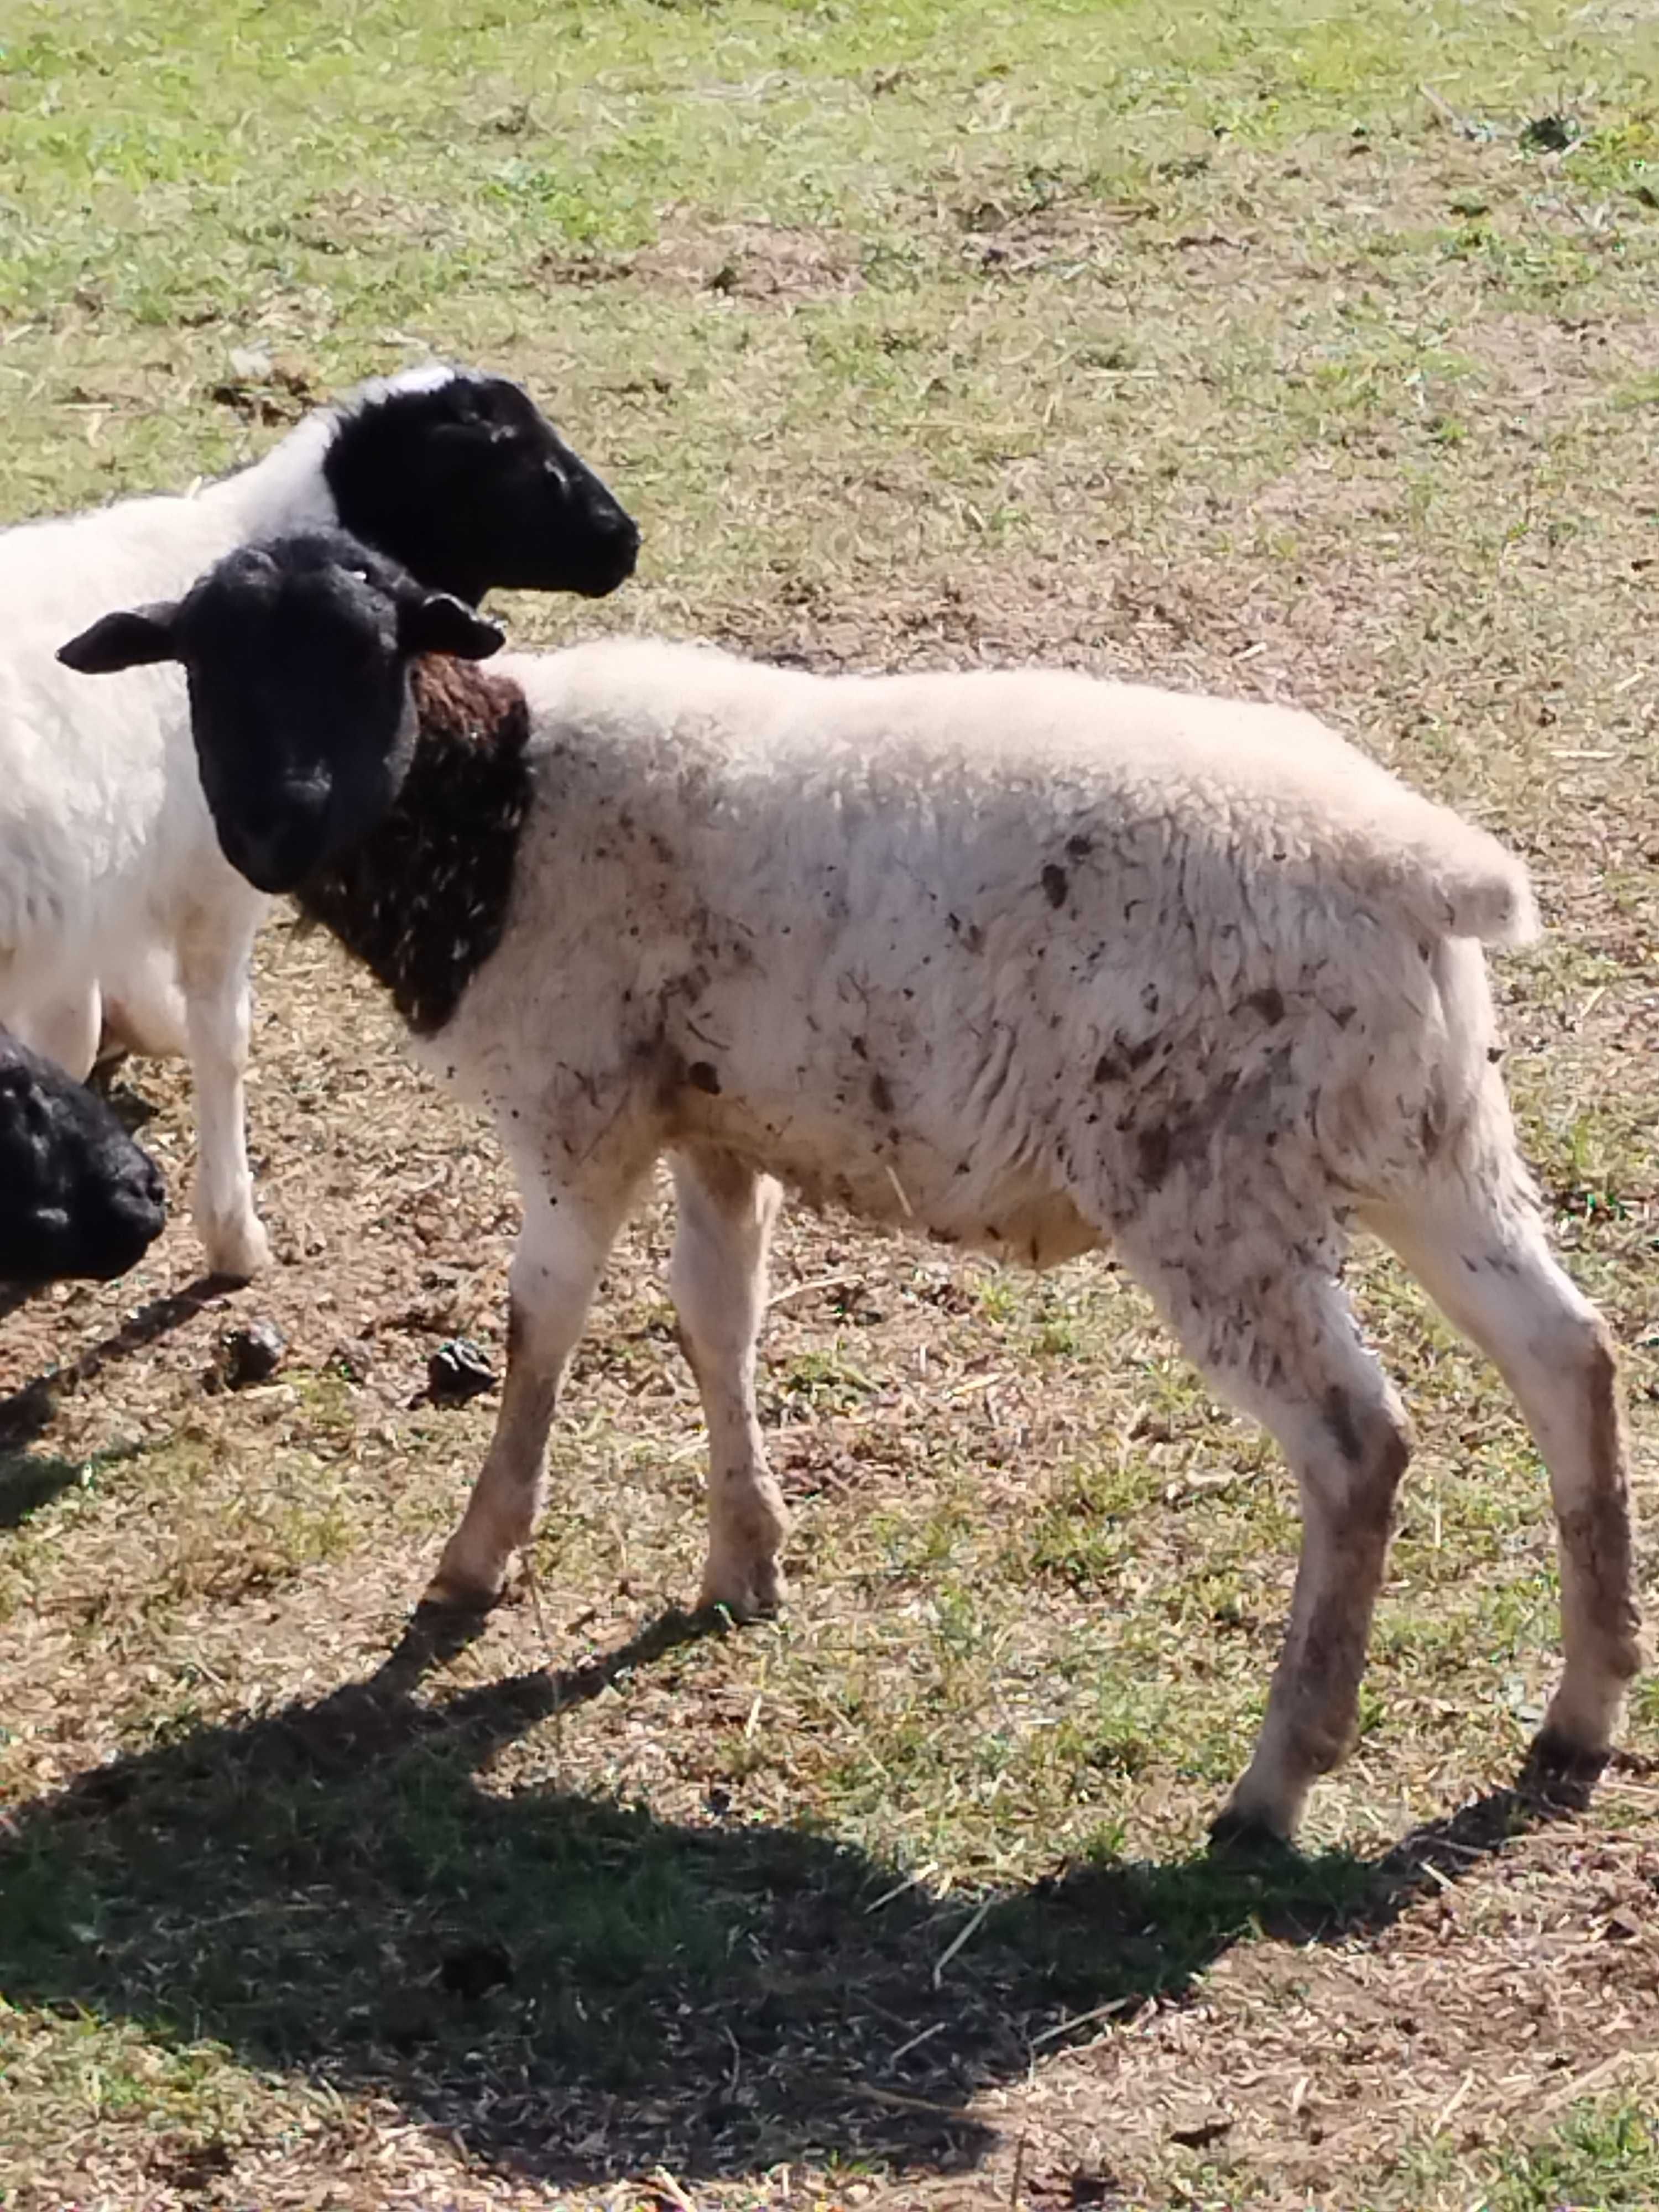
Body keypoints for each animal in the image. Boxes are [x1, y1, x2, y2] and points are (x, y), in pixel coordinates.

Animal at [59, 526, 1646, 1840]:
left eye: (371, 652)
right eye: (209, 669)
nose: (273, 828)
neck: (495, 807)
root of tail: (1420, 872)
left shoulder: (579, 1105)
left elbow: (539, 1328)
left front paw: (475, 1559)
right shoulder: (712, 1122)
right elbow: (716, 1321)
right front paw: (740, 1561)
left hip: (1213, 1191)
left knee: (1359, 1448)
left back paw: (1275, 1781)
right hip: (1428, 1138)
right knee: (1568, 1358)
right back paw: (1582, 1709)